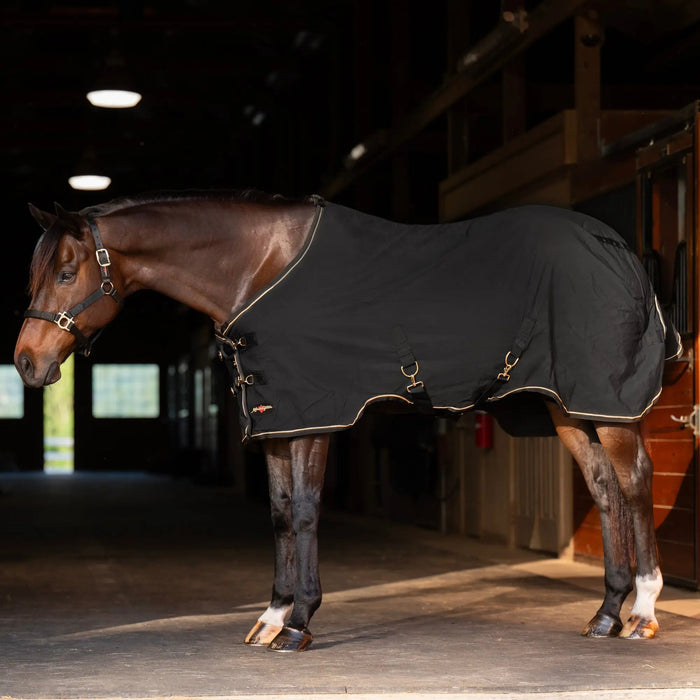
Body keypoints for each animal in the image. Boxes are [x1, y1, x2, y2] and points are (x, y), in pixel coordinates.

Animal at [14, 190, 678, 651]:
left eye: (66, 273)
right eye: (34, 275)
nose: (26, 361)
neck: (262, 266)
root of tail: (617, 246)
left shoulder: (314, 420)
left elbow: (306, 511)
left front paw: (298, 623)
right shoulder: (276, 421)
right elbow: (280, 513)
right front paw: (272, 616)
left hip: (608, 404)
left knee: (635, 482)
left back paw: (643, 613)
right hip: (566, 405)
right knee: (605, 489)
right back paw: (605, 615)